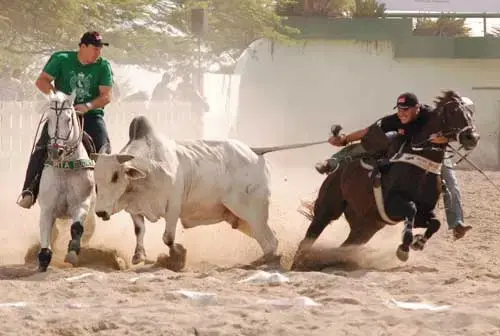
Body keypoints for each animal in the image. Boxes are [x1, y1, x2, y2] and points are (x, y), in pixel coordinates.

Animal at [36, 90, 97, 272]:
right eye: (49, 119)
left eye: (68, 119)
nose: (56, 151)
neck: (65, 169)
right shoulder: (47, 207)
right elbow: (45, 229)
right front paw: (44, 259)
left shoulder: (82, 204)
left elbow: (77, 228)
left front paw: (72, 253)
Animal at [292, 90, 478, 270]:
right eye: (453, 111)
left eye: (470, 113)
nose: (472, 137)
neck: (421, 169)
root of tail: (338, 171)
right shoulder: (392, 204)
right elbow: (411, 209)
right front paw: (404, 248)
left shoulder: (423, 212)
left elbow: (435, 223)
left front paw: (418, 242)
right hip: (328, 208)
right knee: (308, 238)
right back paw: (297, 263)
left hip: (366, 227)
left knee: (344, 245)